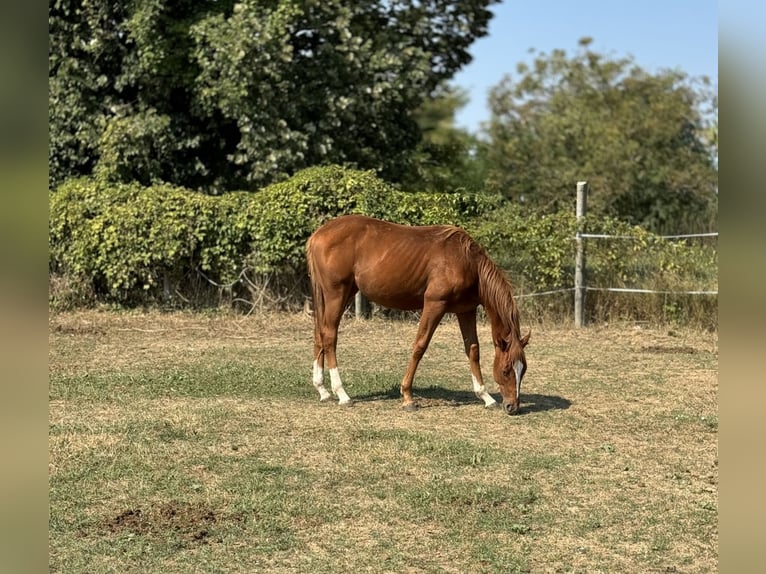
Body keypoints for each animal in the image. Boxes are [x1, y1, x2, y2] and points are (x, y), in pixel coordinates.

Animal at [306, 214, 536, 416]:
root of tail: (318, 234)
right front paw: (407, 397)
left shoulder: (465, 310)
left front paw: (486, 397)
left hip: (340, 294)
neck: (467, 262)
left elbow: (473, 350)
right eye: (506, 370)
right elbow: (420, 346)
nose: (513, 407)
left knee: (319, 334)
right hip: (336, 293)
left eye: (523, 369)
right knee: (329, 336)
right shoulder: (435, 305)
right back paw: (342, 394)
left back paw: (322, 390)